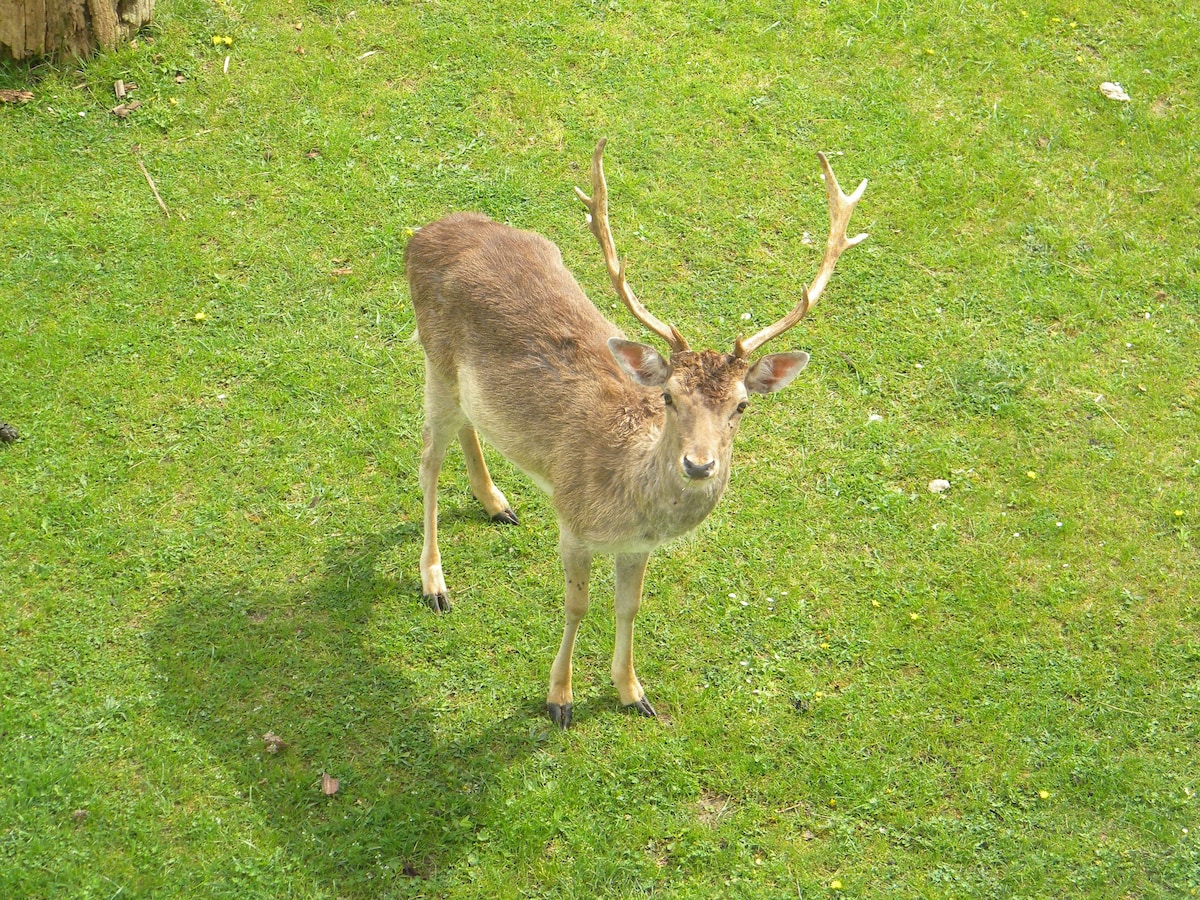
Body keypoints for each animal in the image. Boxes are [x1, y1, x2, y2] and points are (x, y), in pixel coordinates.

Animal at [408, 142, 868, 734]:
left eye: (741, 405)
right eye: (668, 397)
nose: (699, 465)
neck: (628, 501)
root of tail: (422, 233)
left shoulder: (638, 547)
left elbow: (629, 606)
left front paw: (632, 692)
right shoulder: (573, 521)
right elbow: (576, 606)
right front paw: (559, 698)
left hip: (464, 387)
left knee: (469, 427)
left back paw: (496, 503)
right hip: (435, 363)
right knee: (427, 461)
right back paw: (434, 584)